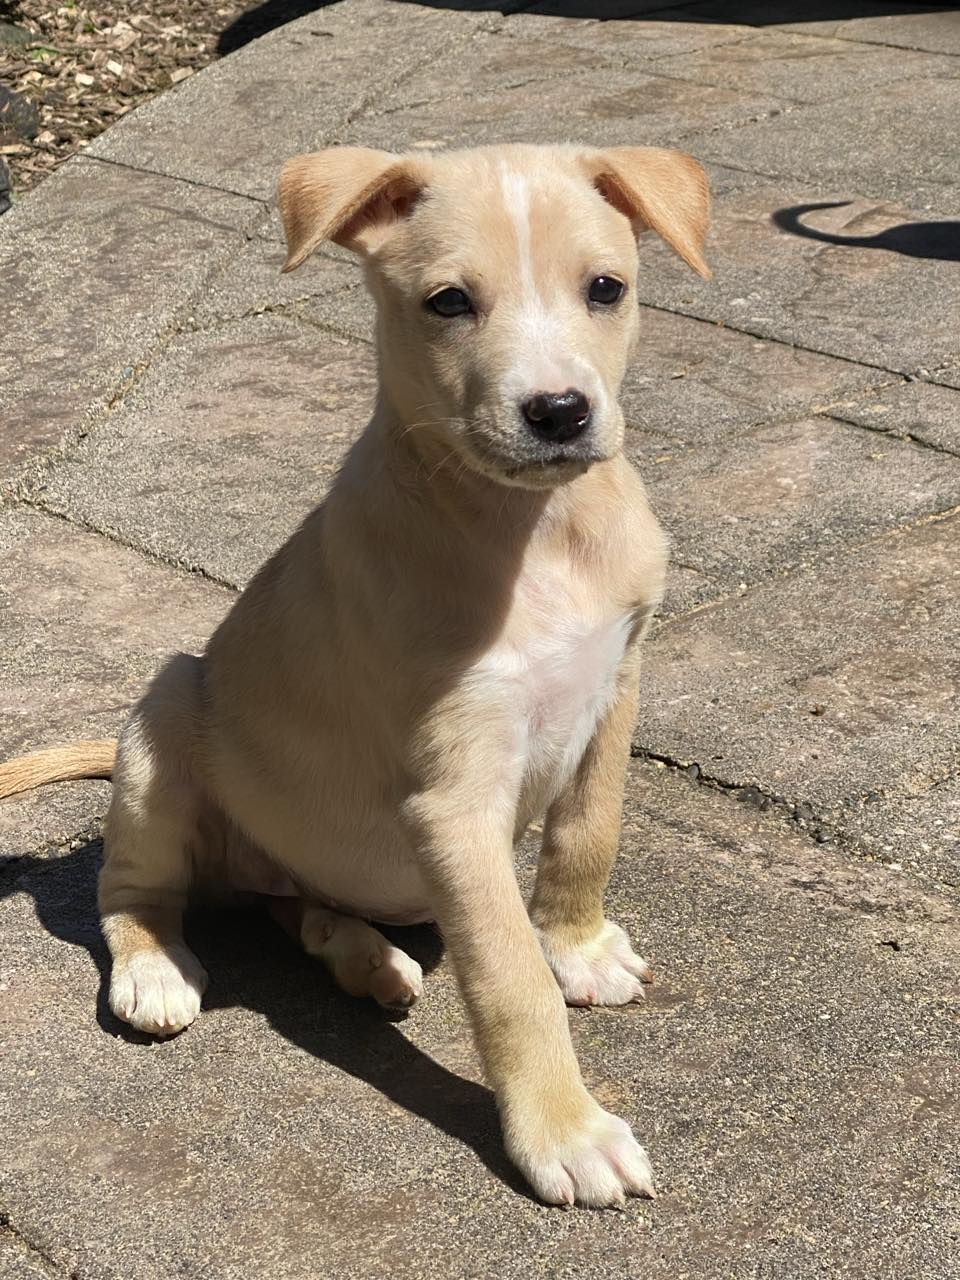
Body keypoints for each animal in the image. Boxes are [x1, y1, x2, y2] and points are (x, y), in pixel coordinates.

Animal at [0, 142, 706, 1208]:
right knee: (129, 890)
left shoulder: (616, 688)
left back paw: (364, 958)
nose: (559, 413)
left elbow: (591, 834)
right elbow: (508, 980)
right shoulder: (453, 798)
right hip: (162, 724)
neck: (533, 531)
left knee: (295, 904)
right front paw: (564, 1130)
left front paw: (578, 946)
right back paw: (157, 970)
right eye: (449, 302)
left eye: (606, 289)